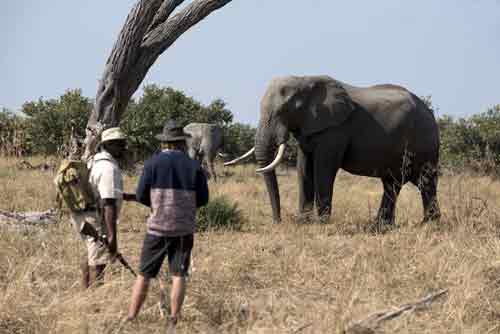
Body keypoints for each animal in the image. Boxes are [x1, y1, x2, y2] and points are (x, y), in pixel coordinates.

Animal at [227, 75, 442, 226]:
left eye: (284, 111)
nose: (277, 221)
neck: (305, 79)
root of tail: (430, 112)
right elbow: (304, 167)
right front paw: (303, 222)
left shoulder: (335, 130)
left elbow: (324, 168)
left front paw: (321, 223)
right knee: (392, 184)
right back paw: (382, 226)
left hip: (424, 140)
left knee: (424, 181)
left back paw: (428, 225)